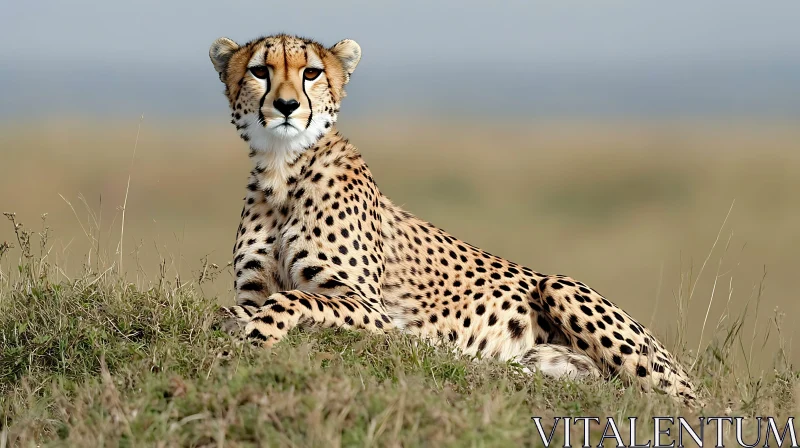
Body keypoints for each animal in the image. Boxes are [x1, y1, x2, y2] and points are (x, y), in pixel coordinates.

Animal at [209, 34, 696, 406]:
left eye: (310, 73)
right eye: (260, 71)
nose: (287, 105)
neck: (282, 171)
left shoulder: (374, 313)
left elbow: (291, 299)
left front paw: (257, 338)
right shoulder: (254, 290)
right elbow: (230, 308)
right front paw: (234, 325)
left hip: (561, 287)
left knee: (676, 400)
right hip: (548, 362)